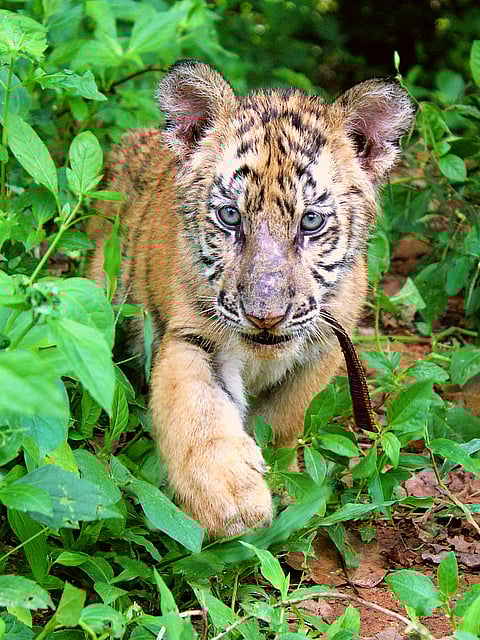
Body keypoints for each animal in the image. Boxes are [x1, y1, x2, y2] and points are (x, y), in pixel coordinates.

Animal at [88, 60, 414, 536]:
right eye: (230, 216)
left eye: (311, 222)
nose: (266, 316)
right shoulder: (193, 338)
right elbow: (198, 409)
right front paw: (230, 500)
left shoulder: (324, 350)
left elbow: (284, 420)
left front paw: (284, 483)